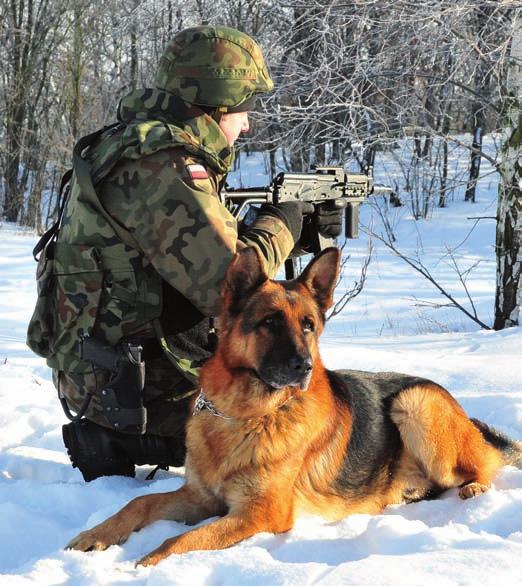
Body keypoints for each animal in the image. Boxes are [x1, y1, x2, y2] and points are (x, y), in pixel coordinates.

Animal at [68, 245, 520, 560]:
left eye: (308, 326)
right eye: (269, 322)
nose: (303, 367)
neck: (245, 415)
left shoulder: (260, 514)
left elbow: (181, 540)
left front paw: (144, 563)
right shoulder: (200, 497)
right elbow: (139, 502)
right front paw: (96, 535)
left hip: (415, 403)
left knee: (484, 464)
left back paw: (475, 487)